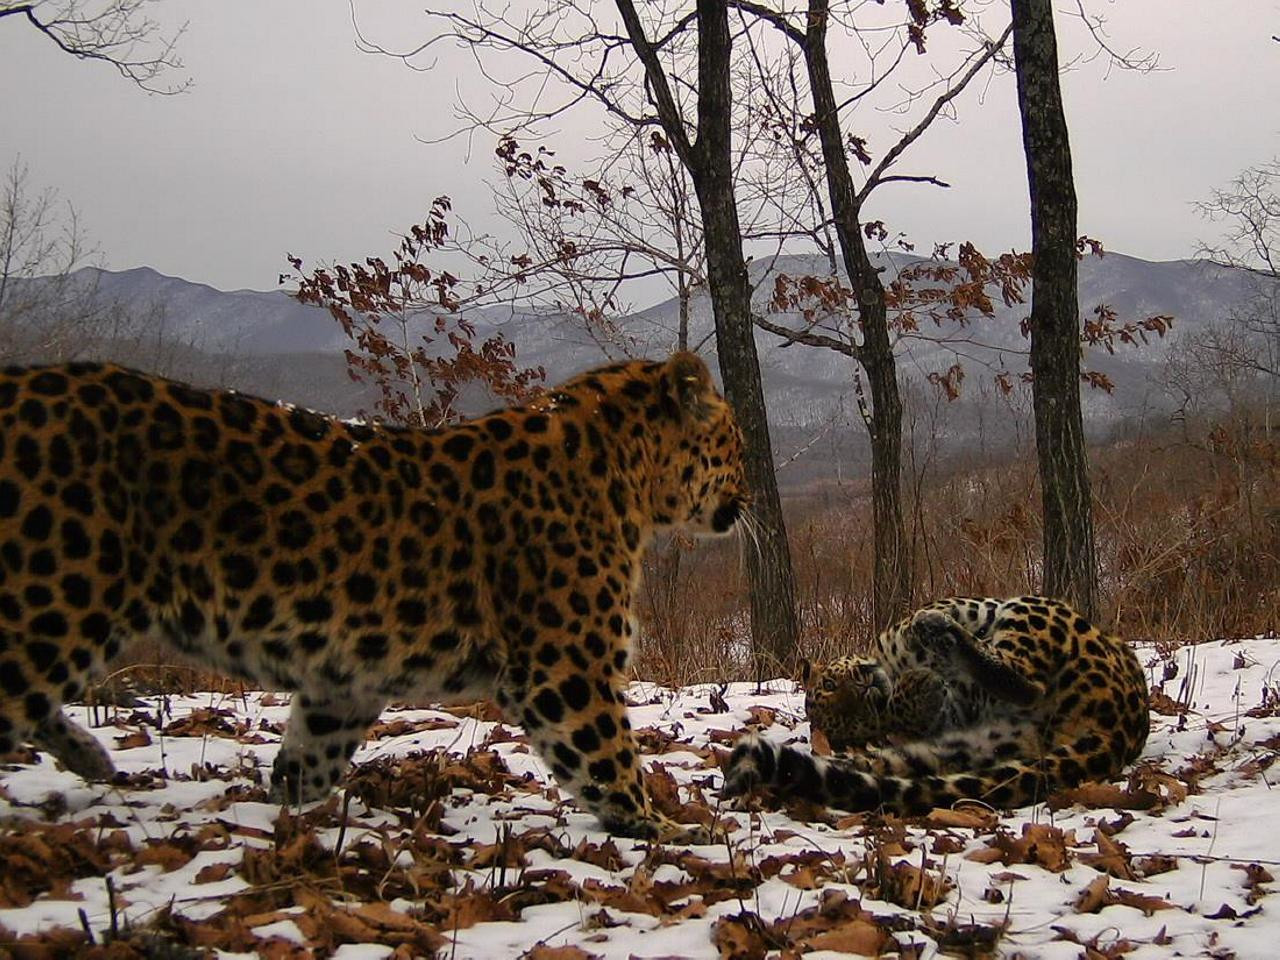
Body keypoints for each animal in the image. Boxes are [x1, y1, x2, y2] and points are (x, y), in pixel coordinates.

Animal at [0, 353, 747, 839]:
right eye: (735, 441)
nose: (747, 500)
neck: (629, 478)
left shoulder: (345, 675)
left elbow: (312, 752)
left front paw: (286, 805)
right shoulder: (566, 669)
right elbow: (607, 758)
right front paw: (671, 829)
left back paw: (89, 757)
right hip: (54, 600)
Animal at [727, 599, 1157, 814]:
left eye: (831, 685)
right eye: (859, 720)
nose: (868, 691)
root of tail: (1122, 730)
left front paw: (921, 651)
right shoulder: (962, 705)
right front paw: (920, 682)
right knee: (1026, 682)